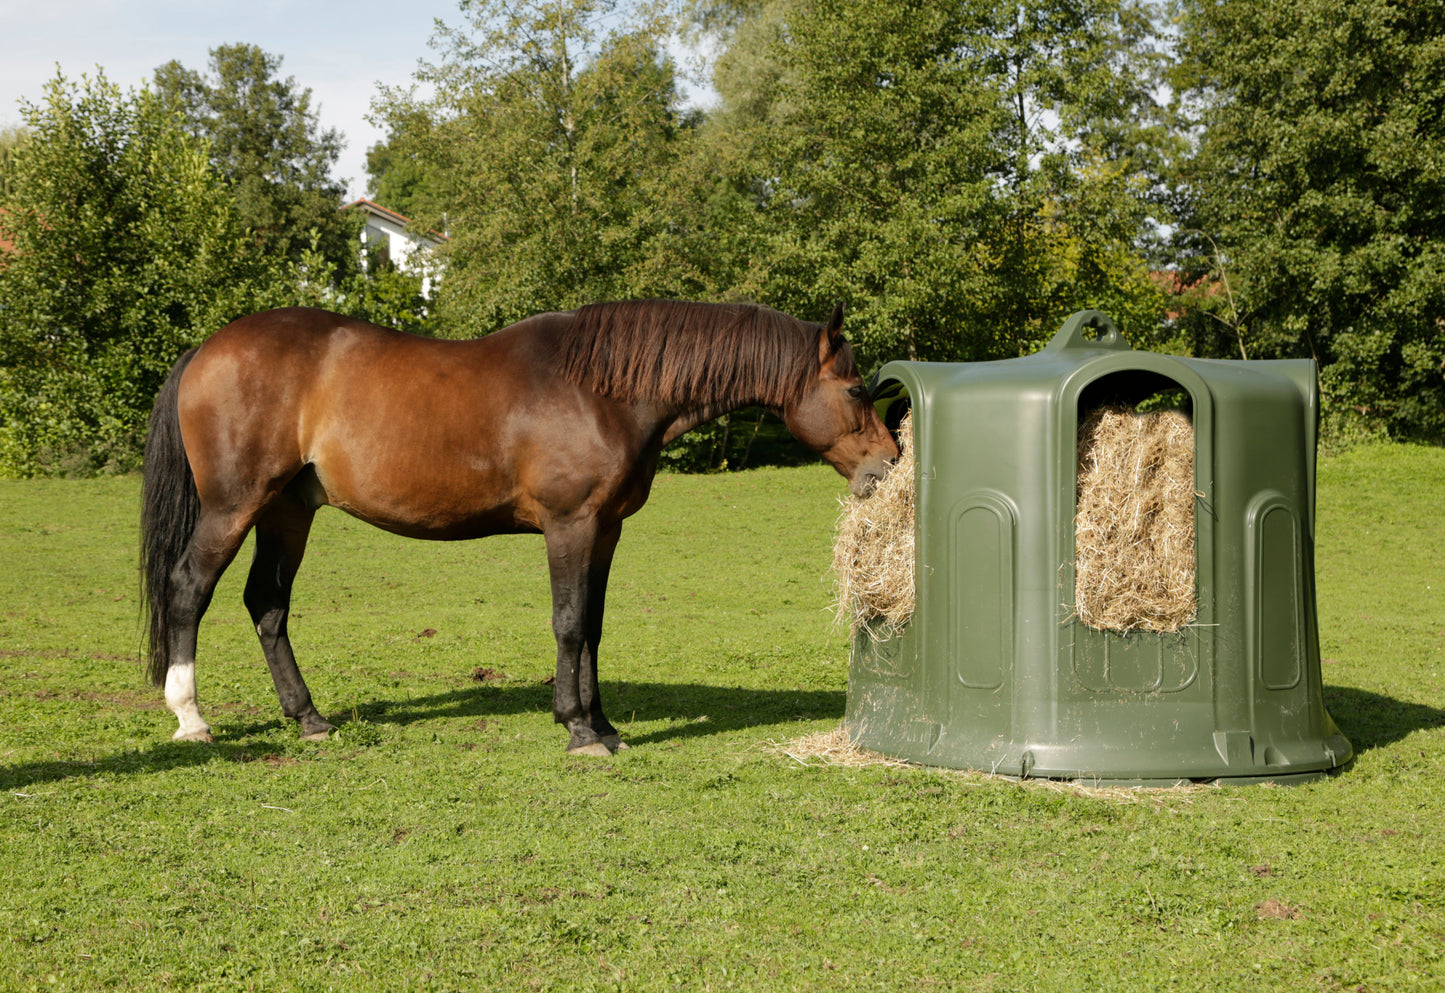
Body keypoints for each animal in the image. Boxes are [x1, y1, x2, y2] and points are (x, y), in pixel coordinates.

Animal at [137, 299, 901, 757]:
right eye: (855, 390)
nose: (888, 464)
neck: (603, 390)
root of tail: (208, 349)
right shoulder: (570, 526)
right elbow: (567, 623)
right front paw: (578, 730)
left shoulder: (605, 531)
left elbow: (592, 625)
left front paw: (602, 723)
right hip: (235, 506)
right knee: (188, 590)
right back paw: (191, 718)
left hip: (288, 510)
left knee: (267, 602)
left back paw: (310, 718)